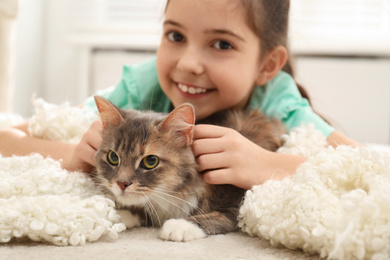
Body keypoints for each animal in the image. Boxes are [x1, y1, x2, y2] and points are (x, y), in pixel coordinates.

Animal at [93, 95, 284, 242]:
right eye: (113, 157)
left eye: (150, 161)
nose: (121, 183)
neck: (169, 194)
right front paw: (117, 216)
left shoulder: (240, 200)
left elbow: (216, 216)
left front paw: (180, 225)